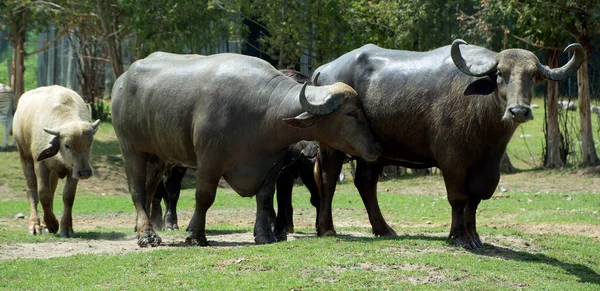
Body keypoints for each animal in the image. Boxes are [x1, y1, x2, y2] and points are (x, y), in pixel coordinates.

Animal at [12, 85, 101, 238]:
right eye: (67, 145)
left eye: (89, 144)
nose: (85, 172)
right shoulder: (40, 164)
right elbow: (43, 194)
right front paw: (52, 224)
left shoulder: (73, 170)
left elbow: (68, 196)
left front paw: (66, 227)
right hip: (24, 155)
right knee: (32, 189)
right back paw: (35, 224)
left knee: (52, 189)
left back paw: (44, 224)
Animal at [111, 52, 384, 246]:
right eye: (350, 113)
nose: (376, 147)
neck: (262, 114)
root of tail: (121, 81)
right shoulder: (209, 161)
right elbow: (204, 197)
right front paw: (196, 235)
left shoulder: (273, 165)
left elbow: (265, 198)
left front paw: (264, 235)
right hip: (131, 149)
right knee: (137, 191)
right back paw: (147, 236)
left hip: (159, 157)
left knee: (149, 190)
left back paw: (142, 228)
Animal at [312, 38, 584, 249]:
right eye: (500, 74)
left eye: (533, 75)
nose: (518, 110)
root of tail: (323, 70)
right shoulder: (452, 160)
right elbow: (458, 197)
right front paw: (459, 237)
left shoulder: (488, 165)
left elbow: (476, 198)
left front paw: (474, 236)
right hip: (331, 146)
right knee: (328, 180)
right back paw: (326, 229)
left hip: (373, 151)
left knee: (365, 183)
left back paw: (384, 229)